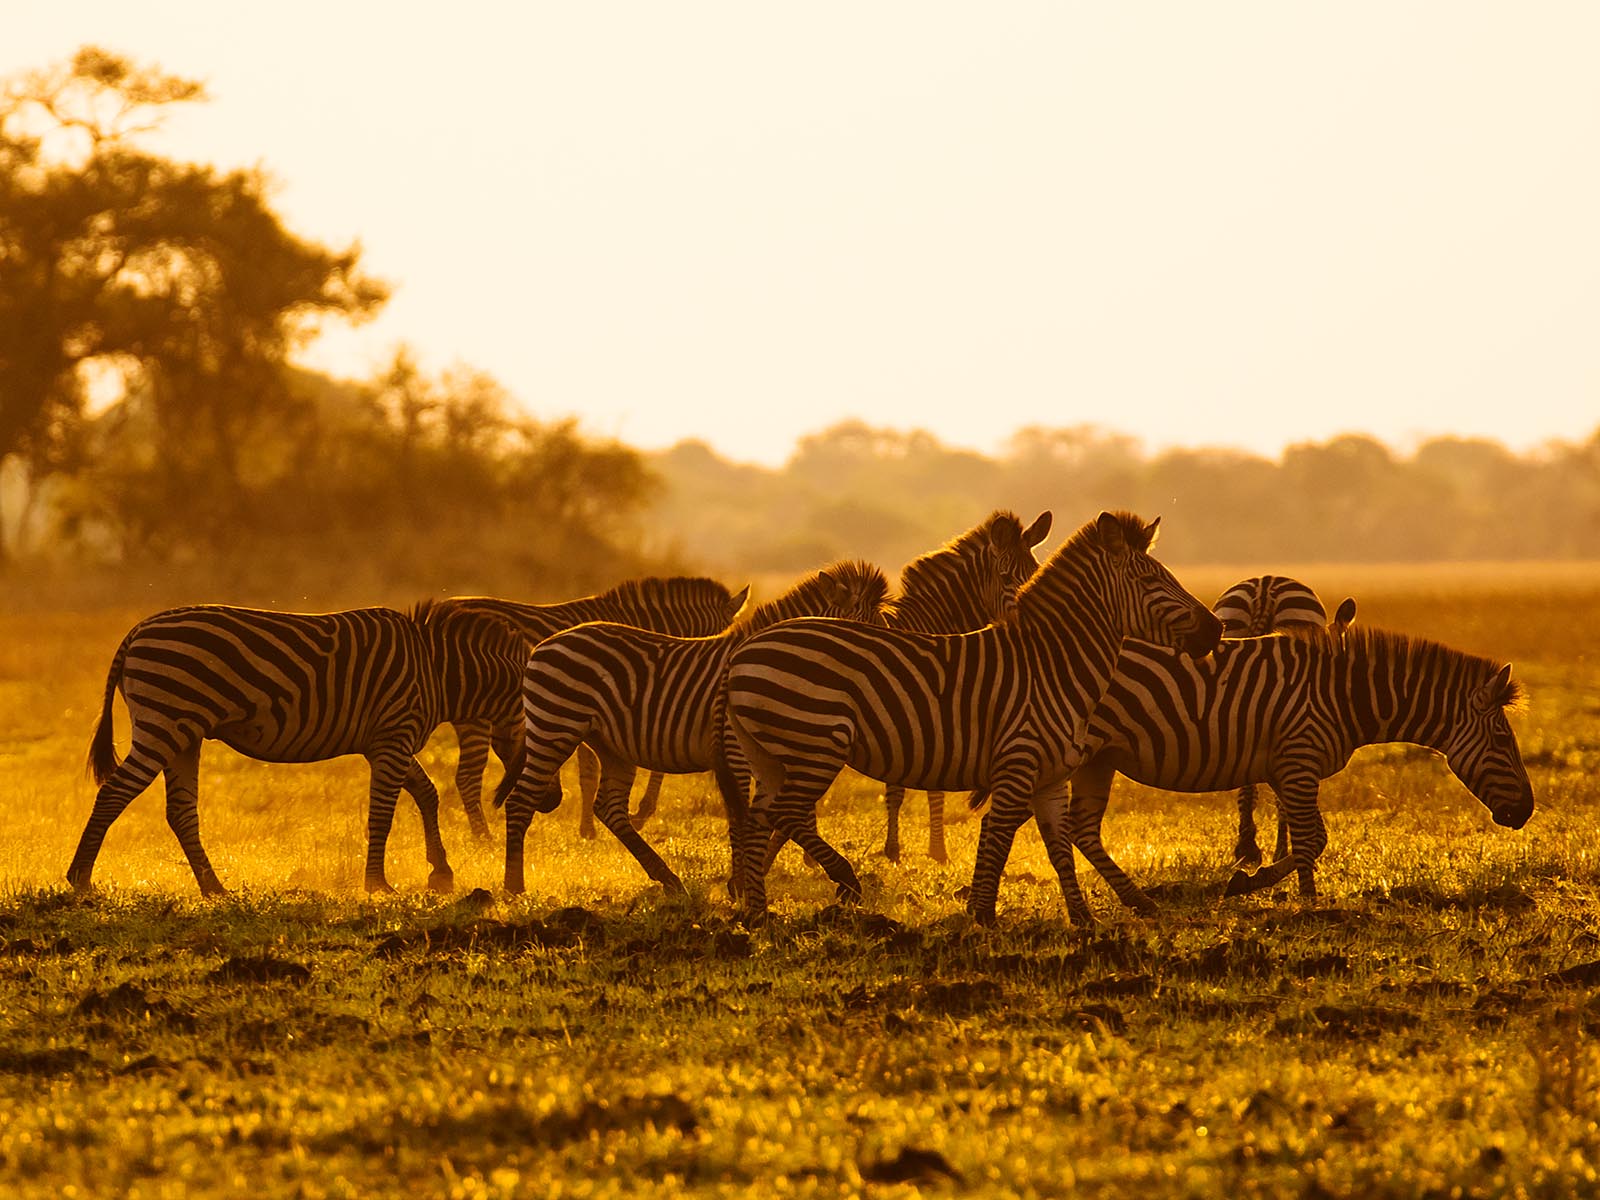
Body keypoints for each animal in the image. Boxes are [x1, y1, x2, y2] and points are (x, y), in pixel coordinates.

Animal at [70, 600, 528, 896]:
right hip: (164, 724)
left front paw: (441, 873)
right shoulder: (393, 736)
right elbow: (383, 813)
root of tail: (137, 630)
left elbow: (427, 794)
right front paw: (378, 884)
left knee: (180, 812)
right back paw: (80, 878)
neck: (437, 670)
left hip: (183, 734)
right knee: (113, 793)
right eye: (532, 709)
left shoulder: (386, 741)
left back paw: (214, 888)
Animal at [441, 577, 748, 841]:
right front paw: (625, 818)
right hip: (478, 714)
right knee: (467, 777)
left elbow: (591, 773)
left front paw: (591, 826)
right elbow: (610, 771)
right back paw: (484, 838)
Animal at [493, 559, 894, 896]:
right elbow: (748, 817)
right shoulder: (737, 749)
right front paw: (744, 883)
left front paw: (755, 876)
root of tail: (546, 643)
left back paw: (668, 879)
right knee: (521, 800)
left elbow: (786, 817)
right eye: (868, 632)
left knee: (609, 808)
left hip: (609, 745)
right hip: (555, 726)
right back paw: (514, 886)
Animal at [716, 511, 1223, 923]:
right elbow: (997, 838)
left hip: (771, 756)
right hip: (817, 744)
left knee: (761, 819)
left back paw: (757, 913)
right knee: (783, 815)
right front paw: (980, 915)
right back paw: (833, 884)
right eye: (1153, 582)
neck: (1052, 664)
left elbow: (1059, 848)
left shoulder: (1051, 778)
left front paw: (1083, 921)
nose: (1216, 629)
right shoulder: (1017, 765)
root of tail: (745, 648)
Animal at [1055, 621, 1534, 919]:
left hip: (1099, 757)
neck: (1343, 695)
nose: (1527, 811)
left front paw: (1278, 888)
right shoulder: (1299, 760)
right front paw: (1291, 895)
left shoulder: (1286, 769)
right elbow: (1313, 840)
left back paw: (1135, 900)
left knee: (1083, 828)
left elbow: (1308, 838)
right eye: (1502, 740)